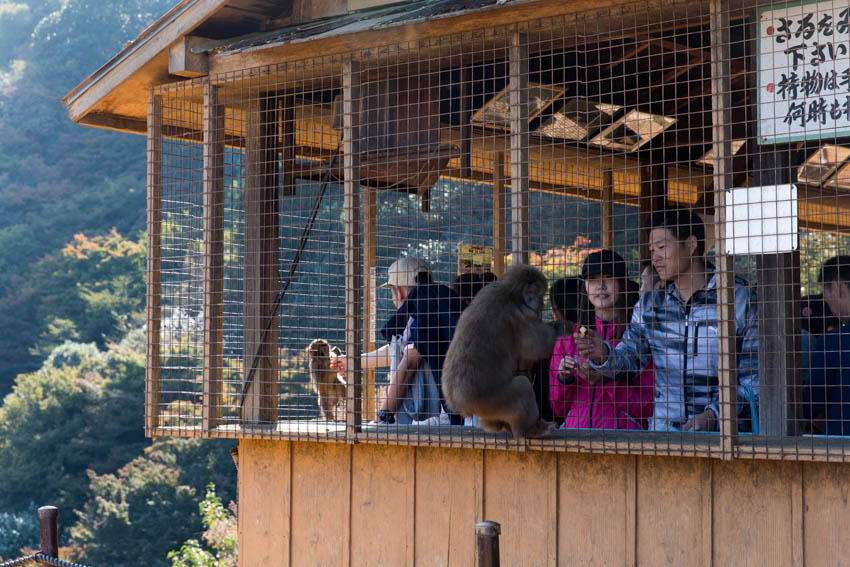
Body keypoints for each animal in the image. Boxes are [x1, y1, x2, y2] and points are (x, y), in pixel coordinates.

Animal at [440, 266, 560, 440]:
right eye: (539, 295)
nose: (541, 304)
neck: (511, 292)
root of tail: (459, 404)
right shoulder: (519, 315)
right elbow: (536, 346)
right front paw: (561, 329)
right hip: (491, 401)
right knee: (522, 387)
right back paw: (529, 430)